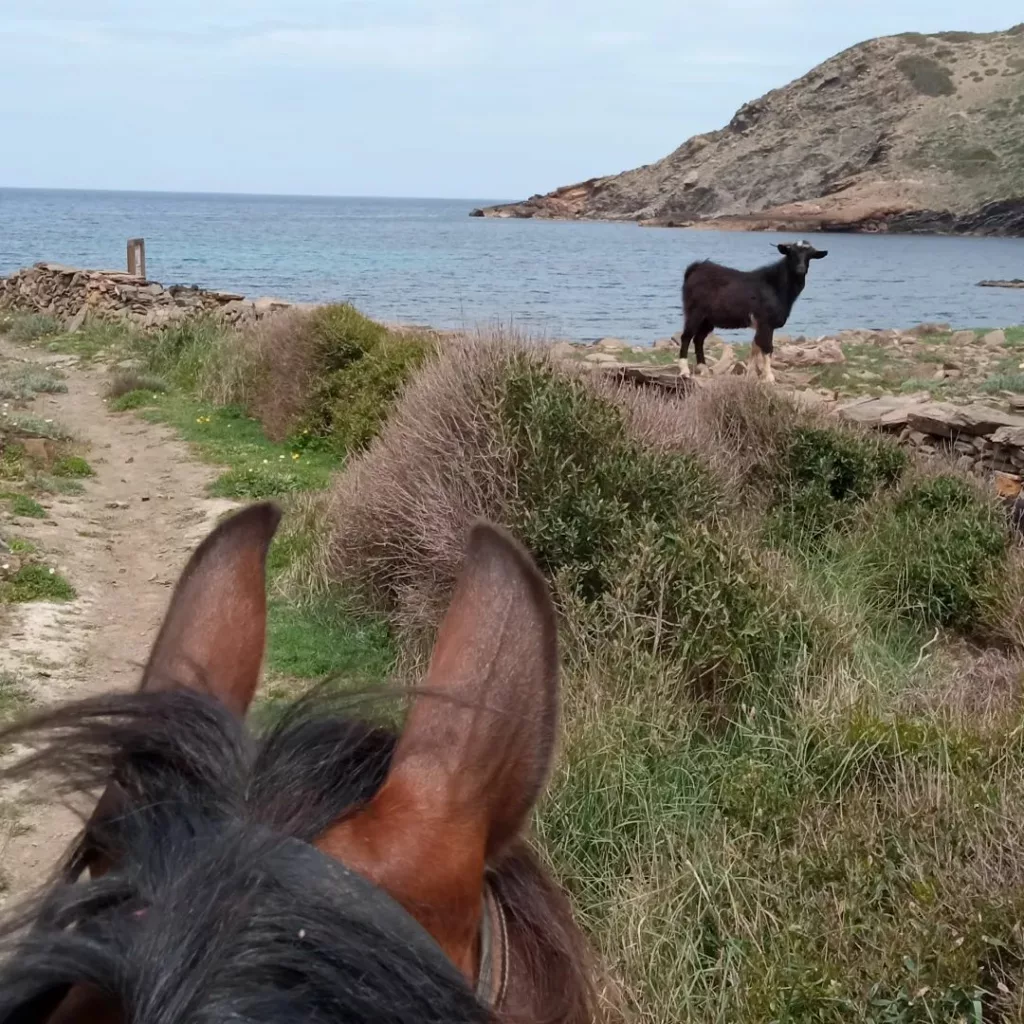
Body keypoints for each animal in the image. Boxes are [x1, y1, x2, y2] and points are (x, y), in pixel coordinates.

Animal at [675, 241, 827, 382]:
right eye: (792, 253)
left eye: (809, 256)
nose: (801, 269)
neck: (775, 286)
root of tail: (696, 269)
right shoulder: (766, 322)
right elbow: (767, 348)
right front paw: (769, 377)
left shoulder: (761, 325)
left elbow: (755, 347)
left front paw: (750, 374)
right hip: (694, 312)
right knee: (686, 337)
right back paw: (684, 371)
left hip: (708, 319)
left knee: (698, 339)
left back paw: (704, 369)